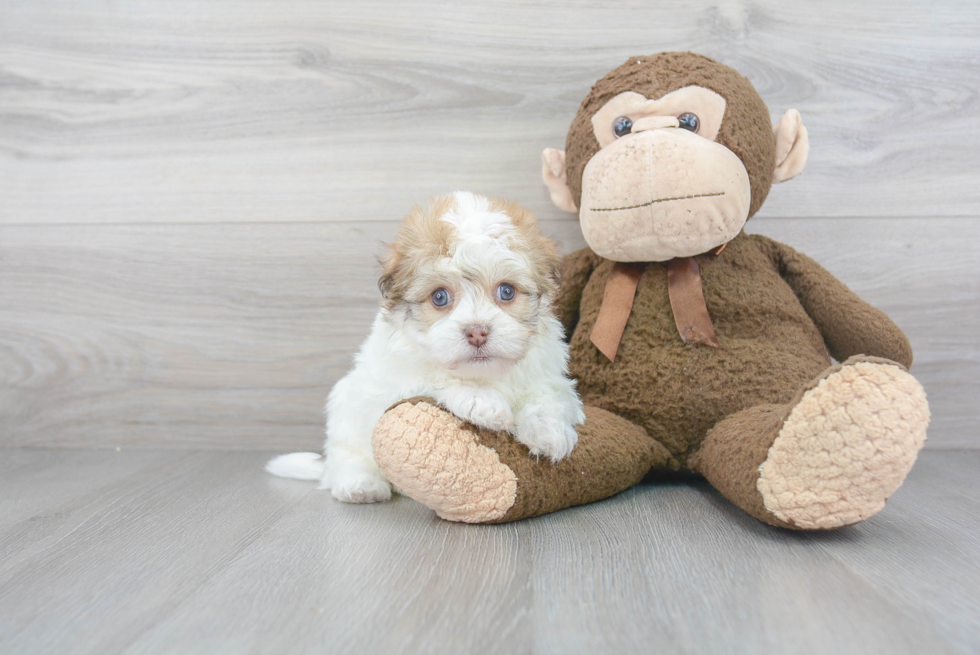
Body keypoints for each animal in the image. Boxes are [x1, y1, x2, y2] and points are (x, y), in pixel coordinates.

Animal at [264, 192, 584, 504]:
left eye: (506, 291)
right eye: (439, 297)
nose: (477, 332)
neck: (484, 374)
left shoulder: (546, 370)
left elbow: (548, 393)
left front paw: (549, 431)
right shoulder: (395, 379)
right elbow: (435, 377)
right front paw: (482, 401)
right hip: (347, 413)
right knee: (346, 457)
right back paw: (360, 484)